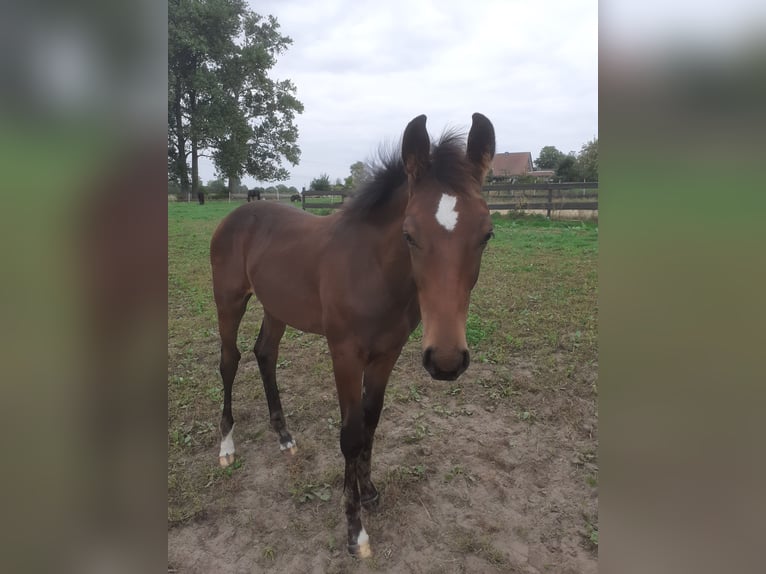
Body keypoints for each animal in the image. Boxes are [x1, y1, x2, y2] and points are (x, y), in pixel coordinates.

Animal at [210, 112, 498, 560]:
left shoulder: (386, 354)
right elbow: (350, 434)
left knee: (265, 354)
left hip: (277, 308)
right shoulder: (344, 355)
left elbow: (370, 423)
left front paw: (370, 492)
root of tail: (237, 215)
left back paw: (284, 436)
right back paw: (226, 447)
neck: (372, 270)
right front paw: (355, 532)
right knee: (229, 361)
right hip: (229, 302)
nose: (447, 360)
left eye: (486, 234)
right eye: (409, 233)